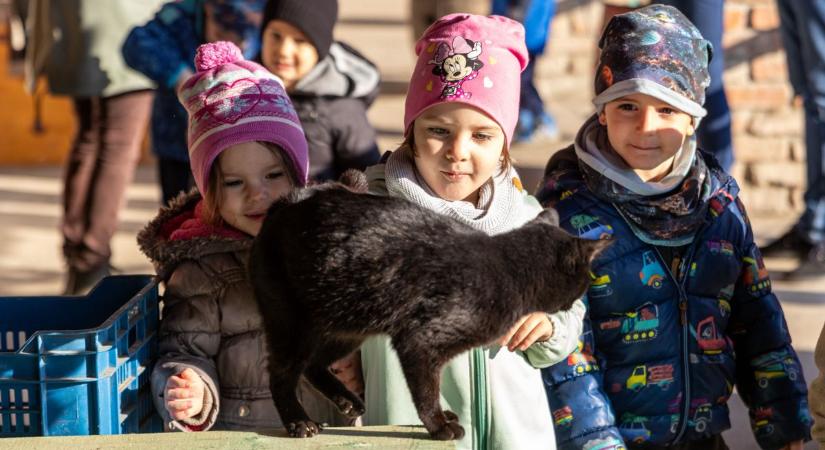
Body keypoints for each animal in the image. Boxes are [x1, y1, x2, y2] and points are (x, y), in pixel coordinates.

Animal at [248, 175, 608, 440]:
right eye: (584, 281)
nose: (576, 302)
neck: (505, 266)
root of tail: (287, 202)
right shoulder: (419, 342)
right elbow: (425, 392)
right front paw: (439, 426)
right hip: (293, 324)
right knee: (281, 375)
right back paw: (299, 422)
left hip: (348, 324)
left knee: (313, 365)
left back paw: (346, 401)